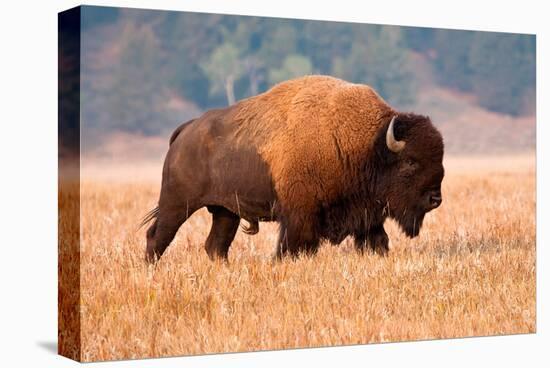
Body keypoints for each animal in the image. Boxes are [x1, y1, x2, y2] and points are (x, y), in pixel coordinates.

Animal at [142, 75, 444, 262]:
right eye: (410, 161)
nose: (435, 199)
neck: (367, 145)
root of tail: (186, 130)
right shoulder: (300, 215)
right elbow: (293, 246)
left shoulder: (366, 215)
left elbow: (378, 241)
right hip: (177, 204)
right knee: (158, 236)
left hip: (226, 211)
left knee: (216, 246)